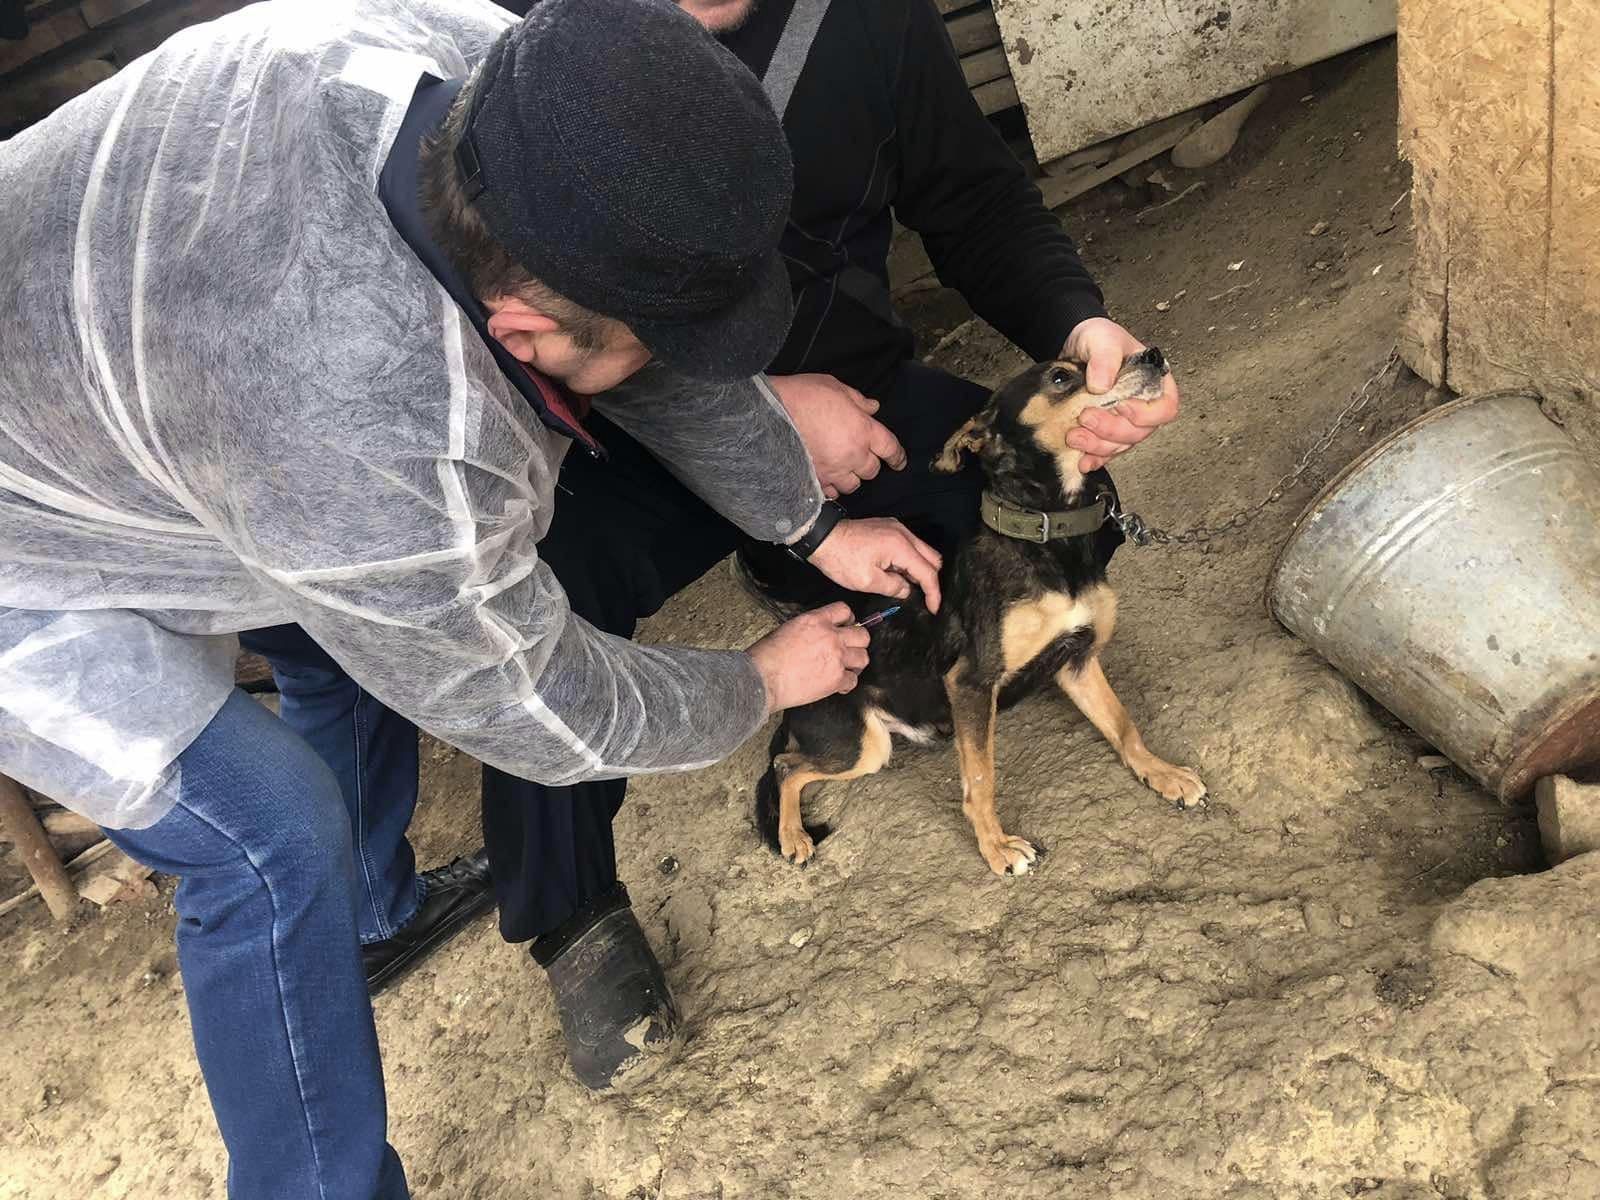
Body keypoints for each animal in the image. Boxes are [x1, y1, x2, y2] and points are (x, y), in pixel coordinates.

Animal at [755, 347, 1203, 876]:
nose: (1152, 355)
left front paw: (1162, 773)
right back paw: (793, 835)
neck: (1046, 536)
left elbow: (1123, 725)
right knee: (786, 766)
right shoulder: (971, 681)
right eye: (1060, 377)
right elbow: (981, 779)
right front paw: (997, 847)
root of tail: (790, 703)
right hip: (862, 745)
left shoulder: (1076, 659)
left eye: (1085, 359)